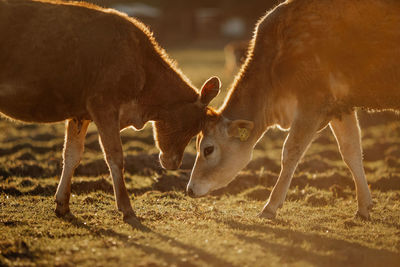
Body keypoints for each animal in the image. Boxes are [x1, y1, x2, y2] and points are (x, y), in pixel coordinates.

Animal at [0, 0, 222, 224]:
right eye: (189, 127)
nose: (174, 163)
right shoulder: (103, 105)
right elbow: (115, 156)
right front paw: (126, 208)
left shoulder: (80, 114)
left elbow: (72, 154)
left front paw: (62, 204)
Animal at [188, 0, 400, 221]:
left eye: (208, 149)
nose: (189, 189)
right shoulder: (340, 105)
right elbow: (351, 150)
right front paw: (363, 207)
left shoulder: (312, 101)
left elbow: (290, 152)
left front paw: (270, 207)